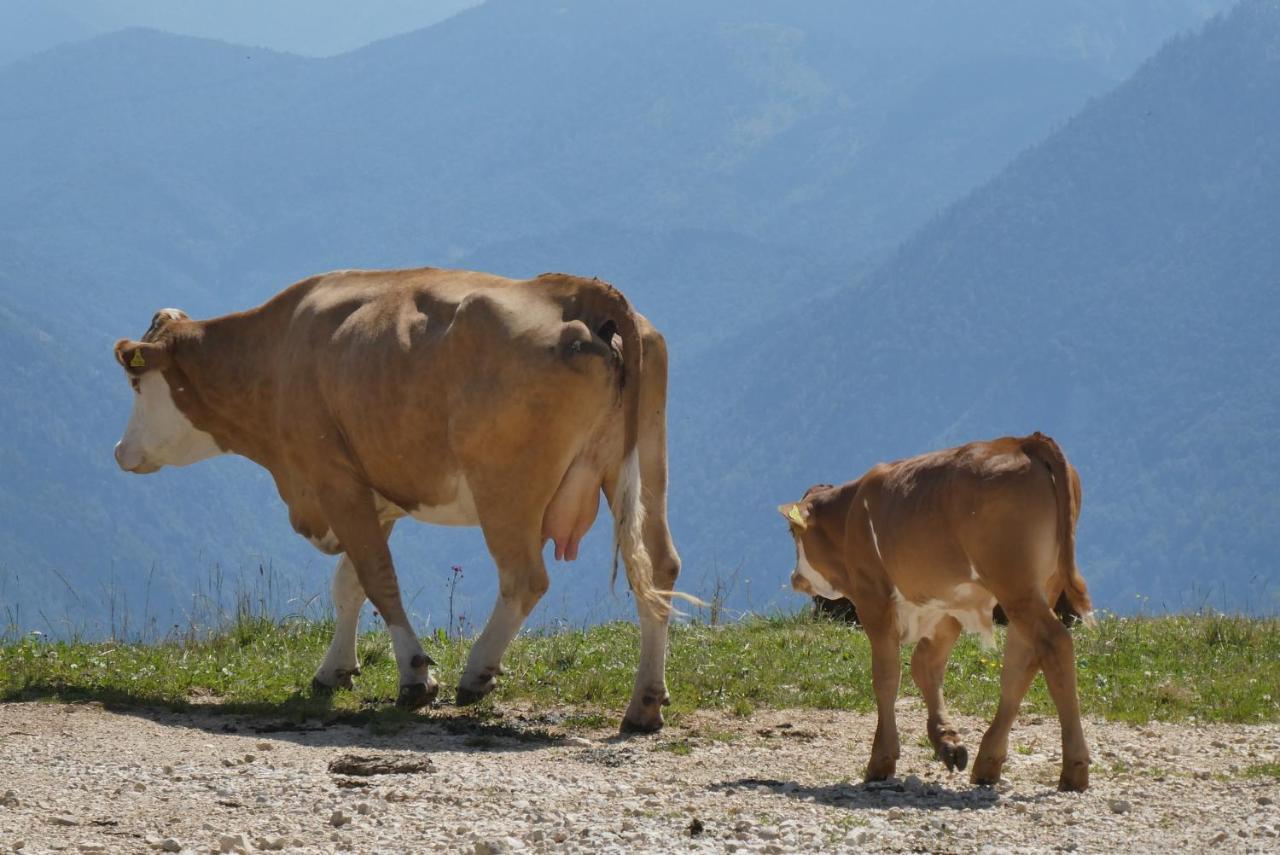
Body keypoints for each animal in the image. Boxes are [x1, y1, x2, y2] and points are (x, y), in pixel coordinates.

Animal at [113, 268, 686, 737]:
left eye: (137, 382)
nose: (120, 452)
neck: (275, 352)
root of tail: (580, 292)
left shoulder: (333, 478)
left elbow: (377, 577)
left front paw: (414, 676)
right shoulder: (373, 492)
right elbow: (348, 583)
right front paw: (335, 669)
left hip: (506, 488)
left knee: (525, 578)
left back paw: (476, 673)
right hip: (645, 467)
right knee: (659, 568)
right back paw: (644, 704)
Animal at [773, 437, 1095, 793]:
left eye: (792, 532)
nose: (795, 578)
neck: (850, 514)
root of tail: (1024, 442)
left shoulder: (873, 598)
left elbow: (886, 676)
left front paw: (881, 760)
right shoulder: (948, 602)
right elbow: (925, 665)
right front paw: (947, 742)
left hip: (1015, 584)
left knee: (1054, 643)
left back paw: (1074, 768)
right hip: (1041, 585)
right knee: (1021, 663)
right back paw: (988, 762)